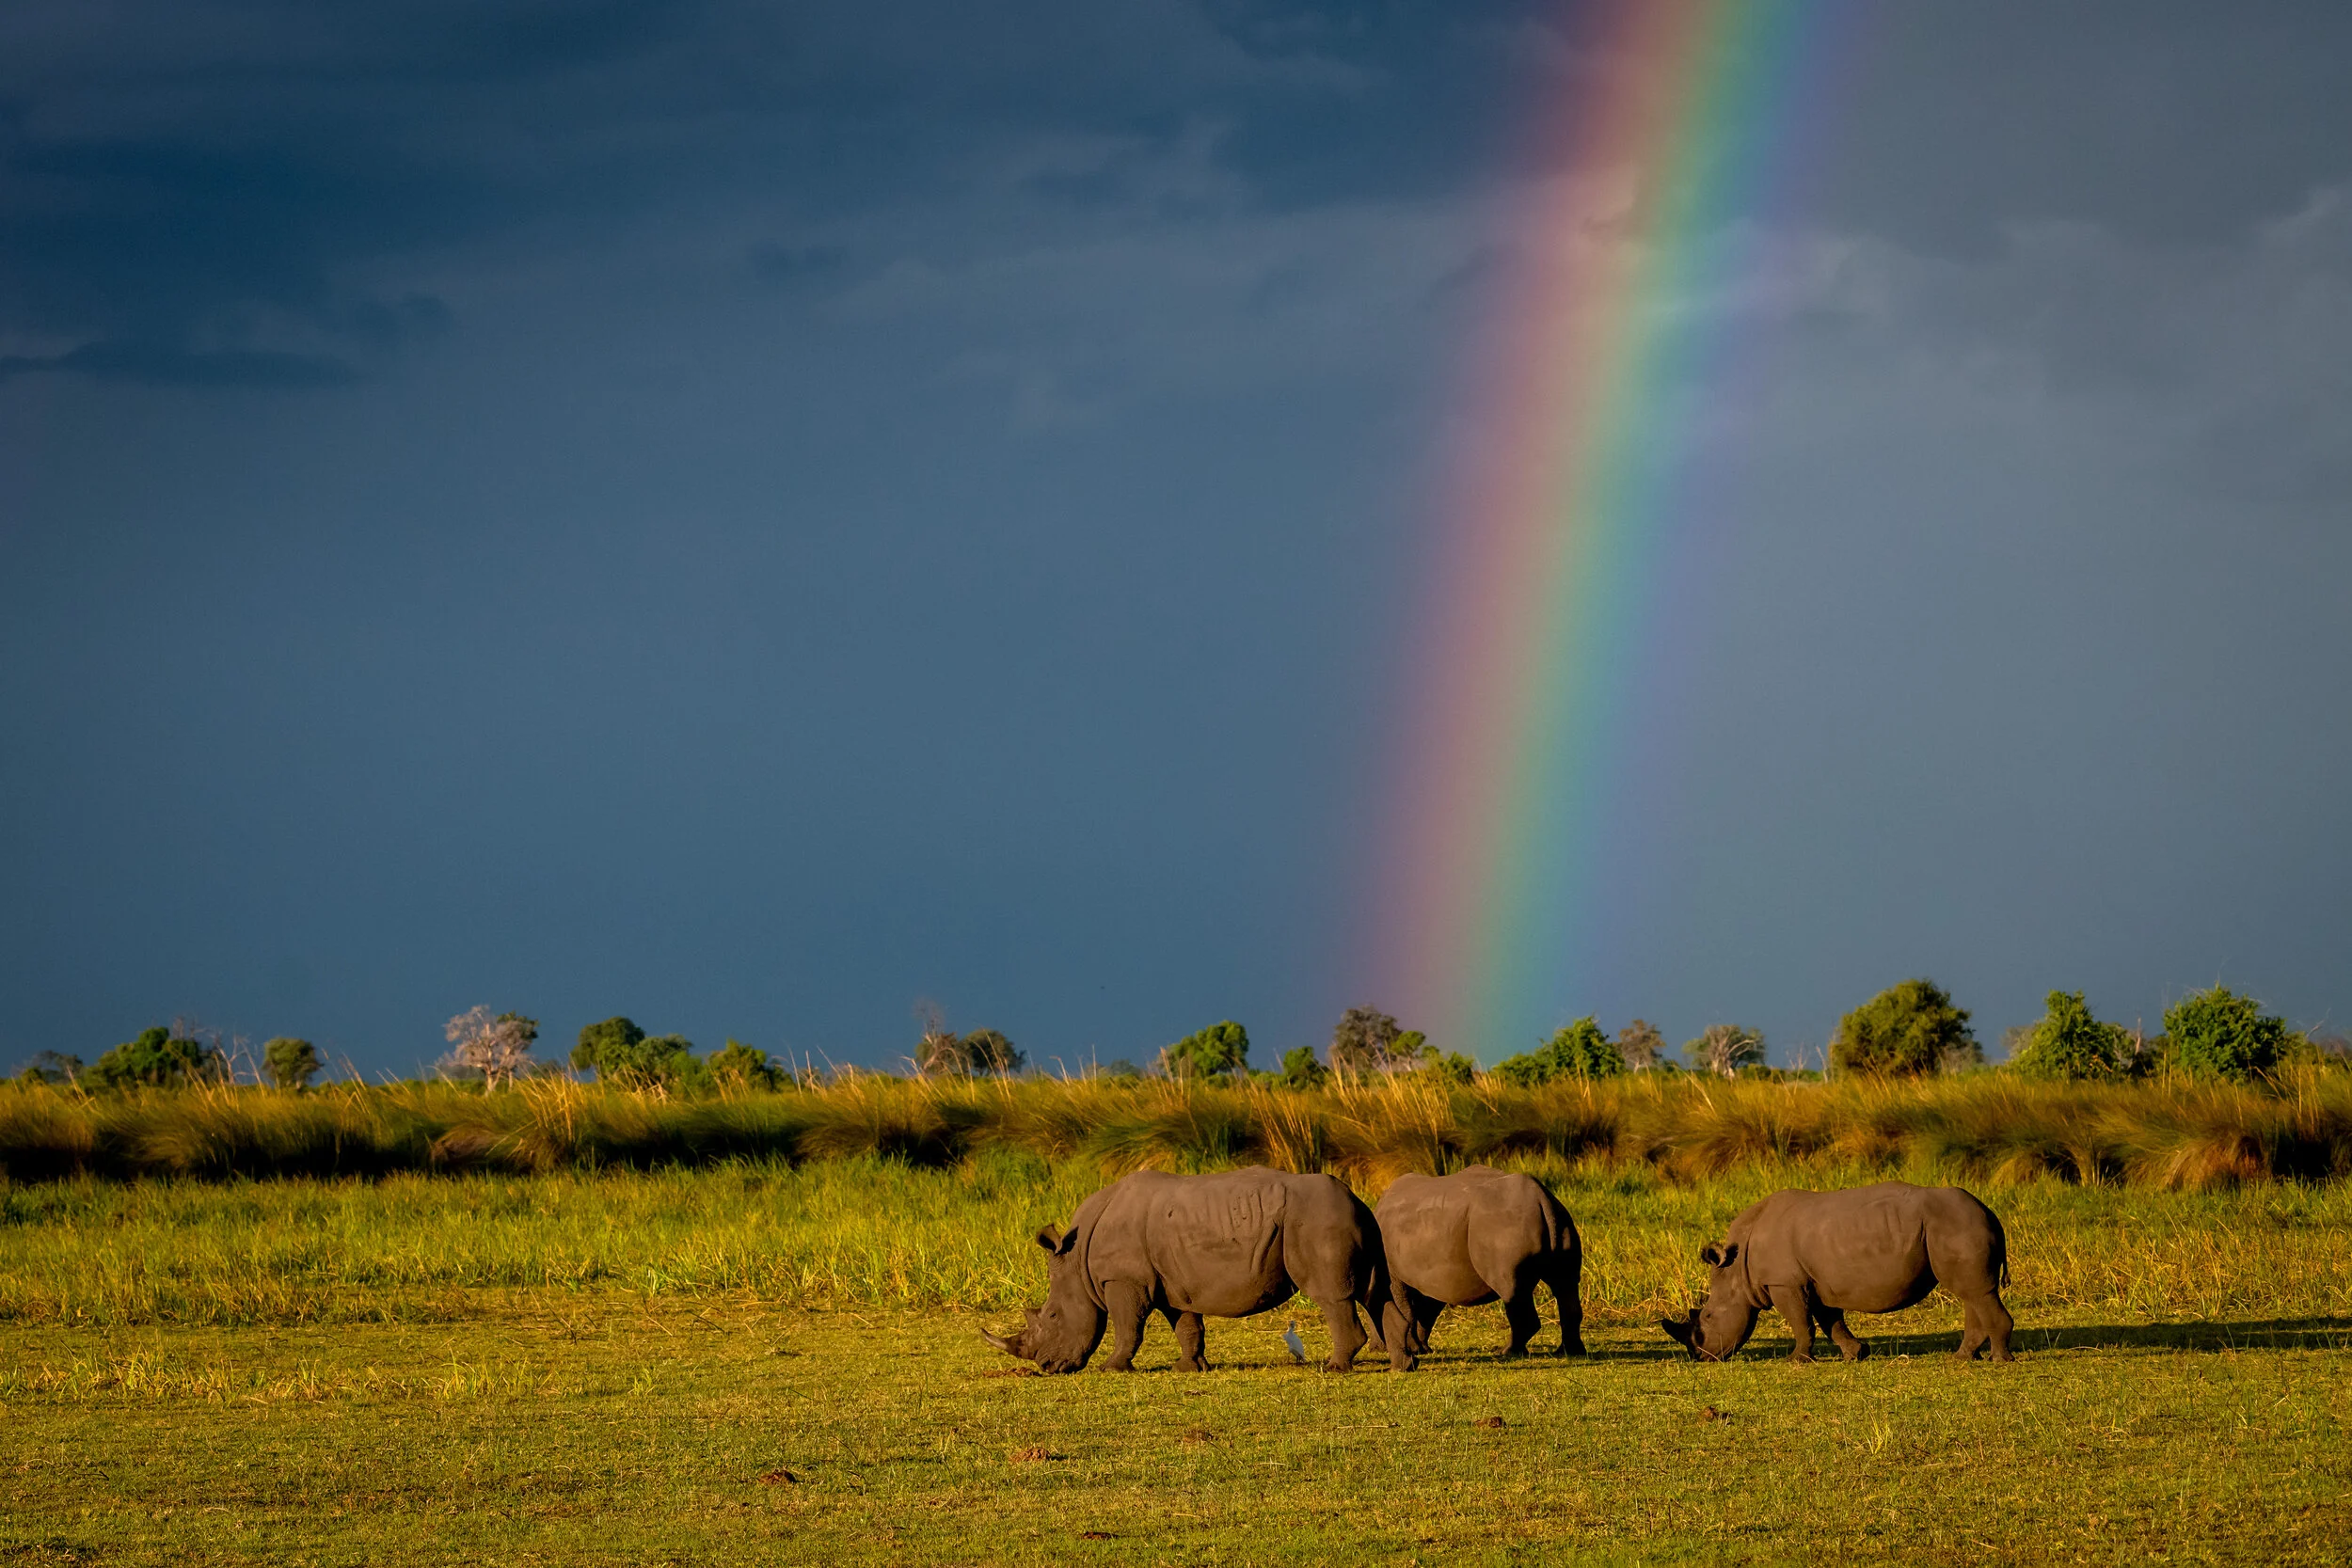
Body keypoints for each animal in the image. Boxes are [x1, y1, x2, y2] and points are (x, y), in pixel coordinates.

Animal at [981, 1166, 1412, 1374]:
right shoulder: (1172, 1282)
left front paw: (1113, 1368)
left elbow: (1128, 1327)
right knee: (1376, 1292)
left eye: (1053, 1316)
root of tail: (1356, 1198)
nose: (1047, 1367)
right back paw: (1401, 1367)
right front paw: (1190, 1367)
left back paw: (1336, 1368)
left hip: (1319, 1221)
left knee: (1334, 1295)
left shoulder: (1122, 1279)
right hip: (1356, 1222)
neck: (1076, 1259)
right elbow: (1187, 1325)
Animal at [1375, 1165, 1585, 1358]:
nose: (1375, 1348)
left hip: (1504, 1228)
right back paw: (1570, 1352)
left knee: (1512, 1289)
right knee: (1564, 1283)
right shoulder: (1430, 1274)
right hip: (1562, 1221)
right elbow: (1426, 1312)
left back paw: (1508, 1353)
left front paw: (1413, 1350)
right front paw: (1422, 1349)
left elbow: (1404, 1308)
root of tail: (1542, 1199)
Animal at [1660, 1181, 2013, 1364]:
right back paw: (1963, 1357)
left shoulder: (1784, 1282)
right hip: (1956, 1226)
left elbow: (1801, 1322)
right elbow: (1830, 1321)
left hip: (1955, 1226)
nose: (1698, 1356)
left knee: (1975, 1292)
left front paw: (1797, 1361)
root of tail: (1987, 1210)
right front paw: (1855, 1354)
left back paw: (1999, 1360)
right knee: (1972, 1293)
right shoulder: (1813, 1280)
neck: (1736, 1271)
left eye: (1707, 1317)